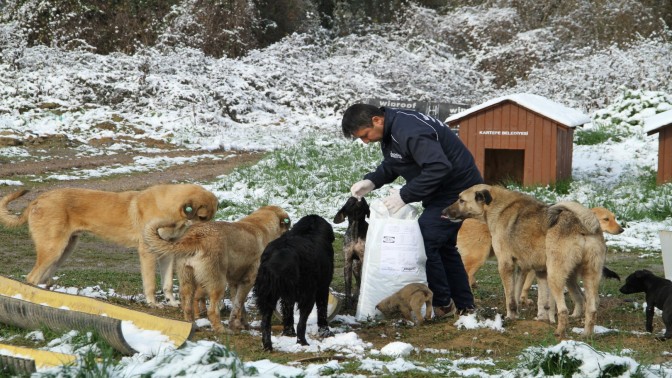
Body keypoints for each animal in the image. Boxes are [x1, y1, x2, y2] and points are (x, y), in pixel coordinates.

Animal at [0, 184, 217, 308]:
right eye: (203, 217)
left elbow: (167, 283)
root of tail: (38, 199)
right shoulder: (148, 252)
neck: (170, 208)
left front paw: (171, 302)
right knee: (30, 279)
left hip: (64, 251)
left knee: (40, 280)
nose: (210, 234)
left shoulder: (167, 252)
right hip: (53, 250)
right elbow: (151, 283)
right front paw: (153, 304)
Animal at [143, 205, 290, 332]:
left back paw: (192, 324)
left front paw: (241, 325)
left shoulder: (235, 283)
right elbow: (238, 305)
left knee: (188, 306)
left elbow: (239, 306)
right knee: (212, 311)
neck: (260, 223)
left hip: (188, 281)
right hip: (218, 284)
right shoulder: (248, 281)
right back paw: (221, 330)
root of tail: (195, 237)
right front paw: (235, 325)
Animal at [253, 214, 334, 350]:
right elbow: (322, 310)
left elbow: (288, 314)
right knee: (302, 323)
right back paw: (303, 342)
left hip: (269, 294)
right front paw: (325, 331)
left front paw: (288, 333)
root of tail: (280, 255)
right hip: (307, 294)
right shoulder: (323, 287)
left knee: (265, 322)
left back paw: (268, 345)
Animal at [444, 185, 608, 338]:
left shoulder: (506, 265)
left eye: (461, 200)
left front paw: (510, 317)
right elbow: (526, 296)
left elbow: (510, 298)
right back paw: (586, 334)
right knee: (591, 309)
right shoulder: (529, 269)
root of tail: (582, 225)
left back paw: (560, 333)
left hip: (556, 276)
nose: (443, 212)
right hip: (586, 276)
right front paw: (530, 316)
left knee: (563, 310)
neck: (498, 207)